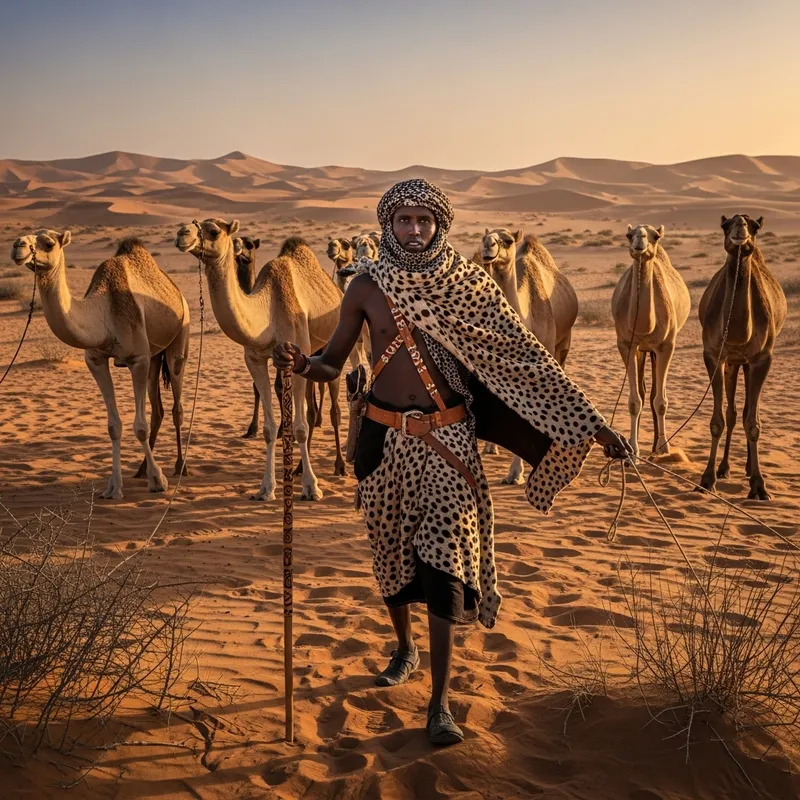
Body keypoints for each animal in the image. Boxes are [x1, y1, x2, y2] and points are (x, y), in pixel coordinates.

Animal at [11, 232, 190, 499]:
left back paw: (180, 467)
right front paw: (113, 487)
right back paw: (141, 470)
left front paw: (158, 481)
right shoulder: (96, 361)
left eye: (49, 243)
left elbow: (140, 427)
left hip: (178, 341)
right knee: (157, 408)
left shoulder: (137, 359)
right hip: (154, 357)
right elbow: (113, 426)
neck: (103, 314)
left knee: (176, 405)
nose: (18, 246)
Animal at [176, 219, 345, 501]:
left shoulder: (297, 354)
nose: (182, 234)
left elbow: (299, 427)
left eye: (214, 231)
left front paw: (312, 487)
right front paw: (266, 488)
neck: (268, 314)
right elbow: (269, 428)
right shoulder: (255, 360)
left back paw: (340, 465)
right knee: (312, 408)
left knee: (334, 409)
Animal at [480, 228, 579, 484]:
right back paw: (490, 446)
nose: (488, 245)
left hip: (563, 343)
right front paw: (514, 472)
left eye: (507, 240)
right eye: (485, 236)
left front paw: (517, 473)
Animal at [611, 224, 691, 457]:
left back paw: (657, 445)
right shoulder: (627, 345)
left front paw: (664, 446)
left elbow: (661, 400)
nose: (640, 239)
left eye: (655, 236)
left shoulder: (666, 346)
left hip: (655, 350)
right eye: (629, 235)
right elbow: (634, 400)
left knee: (656, 391)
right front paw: (633, 449)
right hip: (642, 350)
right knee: (644, 390)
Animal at [698, 214, 786, 500]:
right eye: (725, 225)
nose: (740, 228)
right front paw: (707, 479)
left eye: (755, 227)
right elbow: (718, 420)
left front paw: (759, 486)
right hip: (734, 363)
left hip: (747, 363)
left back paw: (748, 469)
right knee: (734, 412)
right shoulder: (714, 355)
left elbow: (753, 423)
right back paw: (725, 468)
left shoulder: (762, 358)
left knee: (747, 411)